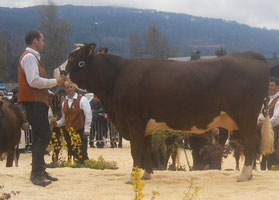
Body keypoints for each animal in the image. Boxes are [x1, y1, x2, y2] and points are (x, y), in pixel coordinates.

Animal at [55, 43, 274, 182]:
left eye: (73, 57)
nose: (59, 72)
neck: (117, 77)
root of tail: (248, 54)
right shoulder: (143, 124)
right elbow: (146, 149)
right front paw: (146, 175)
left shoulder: (133, 120)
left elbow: (136, 150)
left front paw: (132, 177)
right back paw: (248, 174)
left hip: (246, 116)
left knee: (251, 142)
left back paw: (244, 175)